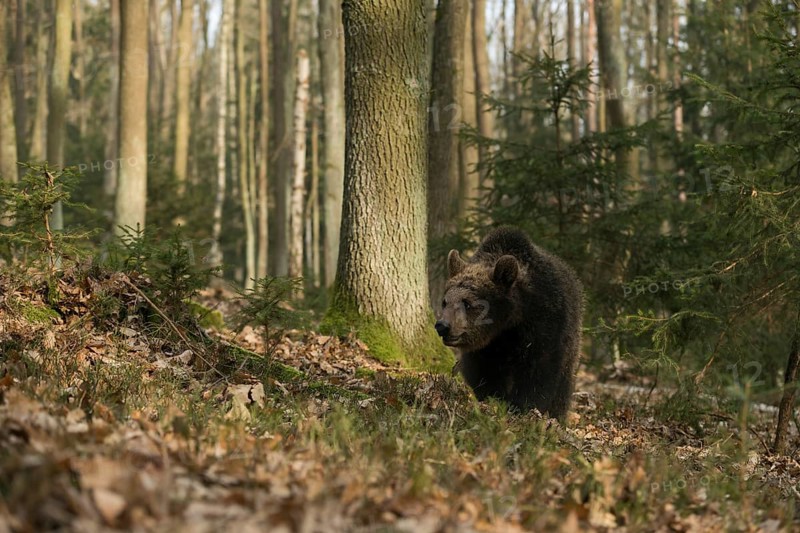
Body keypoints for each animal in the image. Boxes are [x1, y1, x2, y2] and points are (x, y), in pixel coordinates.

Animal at [434, 226, 583, 420]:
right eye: (445, 302)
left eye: (467, 303)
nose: (442, 326)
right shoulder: (485, 349)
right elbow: (484, 373)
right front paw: (494, 400)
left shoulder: (544, 324)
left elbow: (539, 371)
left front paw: (523, 407)